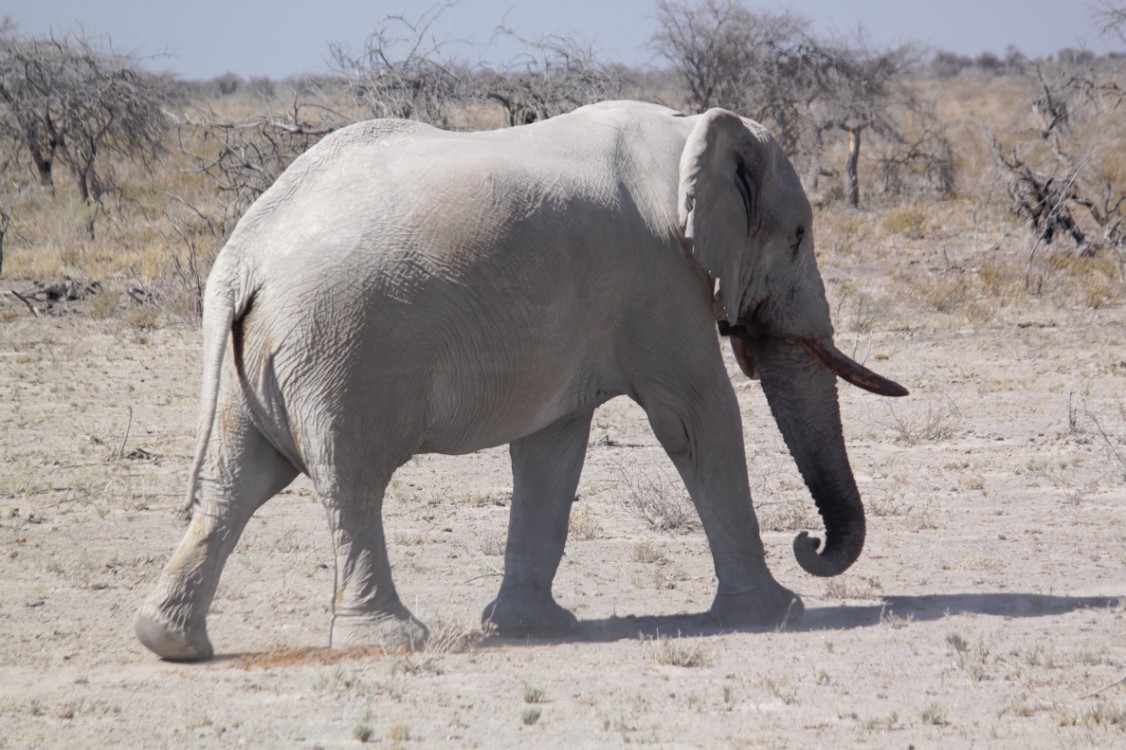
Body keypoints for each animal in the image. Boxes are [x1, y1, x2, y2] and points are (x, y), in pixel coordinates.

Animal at [133, 99, 905, 662]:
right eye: (798, 237)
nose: (809, 544)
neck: (686, 132)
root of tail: (243, 256)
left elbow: (552, 447)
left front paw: (534, 627)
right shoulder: (658, 280)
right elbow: (697, 419)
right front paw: (778, 614)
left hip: (260, 359)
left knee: (240, 480)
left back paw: (172, 642)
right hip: (336, 347)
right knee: (349, 478)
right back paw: (390, 642)